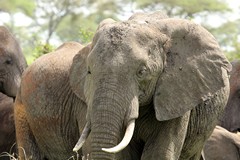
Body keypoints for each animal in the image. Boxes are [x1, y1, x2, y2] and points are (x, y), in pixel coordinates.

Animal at [14, 11, 232, 160]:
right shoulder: (84, 104)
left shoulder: (177, 94)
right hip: (21, 108)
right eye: (89, 72)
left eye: (142, 72)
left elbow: (160, 152)